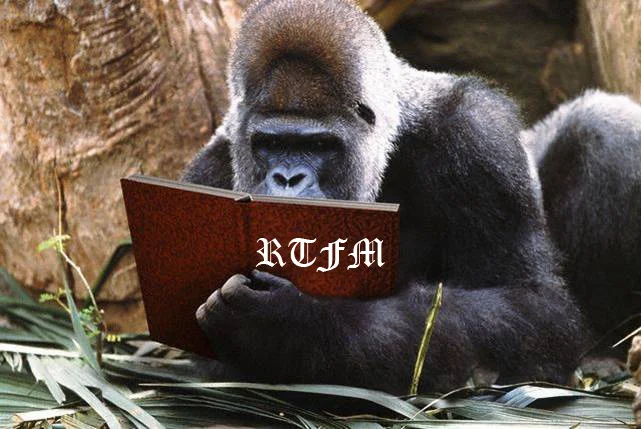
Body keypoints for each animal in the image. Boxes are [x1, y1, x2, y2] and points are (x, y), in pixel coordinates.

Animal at [182, 0, 591, 394]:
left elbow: (535, 307)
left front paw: (290, 323)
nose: (287, 179)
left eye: (320, 145)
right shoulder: (213, 168)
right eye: (268, 144)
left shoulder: (480, 137)